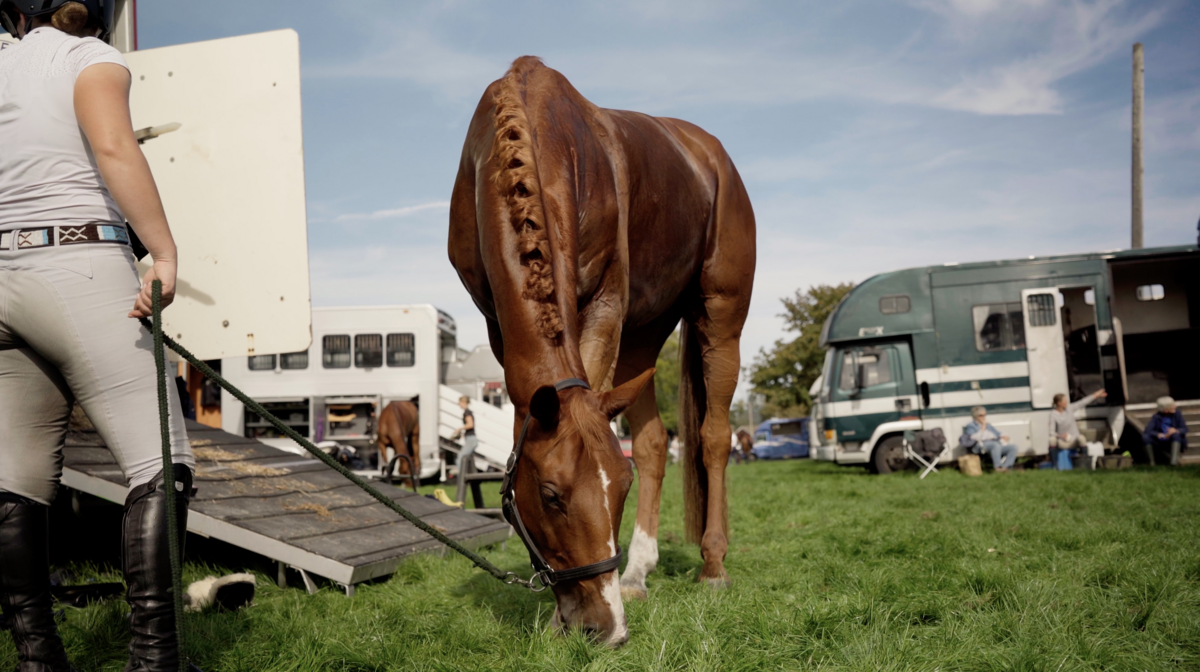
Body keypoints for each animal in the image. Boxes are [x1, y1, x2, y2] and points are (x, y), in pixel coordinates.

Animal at [448, 56, 755, 645]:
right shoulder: (495, 319)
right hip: (644, 333)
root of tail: (712, 155)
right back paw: (637, 572)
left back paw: (713, 565)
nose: (606, 627)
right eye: (550, 495)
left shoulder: (607, 306)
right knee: (656, 442)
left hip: (720, 320)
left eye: (620, 488)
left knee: (714, 436)